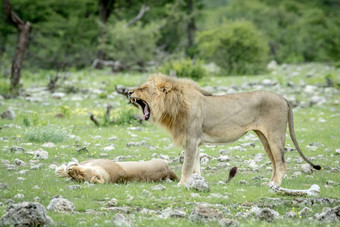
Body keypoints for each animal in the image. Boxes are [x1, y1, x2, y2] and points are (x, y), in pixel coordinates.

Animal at [128, 73, 322, 187]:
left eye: (142, 88)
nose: (129, 92)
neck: (174, 104)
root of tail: (283, 97)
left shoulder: (191, 139)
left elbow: (186, 166)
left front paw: (182, 184)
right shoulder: (195, 142)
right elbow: (196, 166)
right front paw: (196, 182)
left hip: (275, 135)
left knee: (281, 163)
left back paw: (275, 186)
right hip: (265, 138)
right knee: (275, 162)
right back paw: (270, 183)